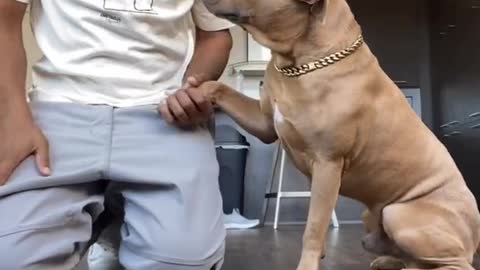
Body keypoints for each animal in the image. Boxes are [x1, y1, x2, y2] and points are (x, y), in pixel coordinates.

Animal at [197, 0, 480, 268]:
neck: (299, 62)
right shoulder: (264, 123)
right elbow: (220, 88)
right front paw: (194, 91)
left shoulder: (328, 164)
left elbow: (313, 227)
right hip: (373, 223)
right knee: (416, 260)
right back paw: (388, 263)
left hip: (399, 215)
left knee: (456, 265)